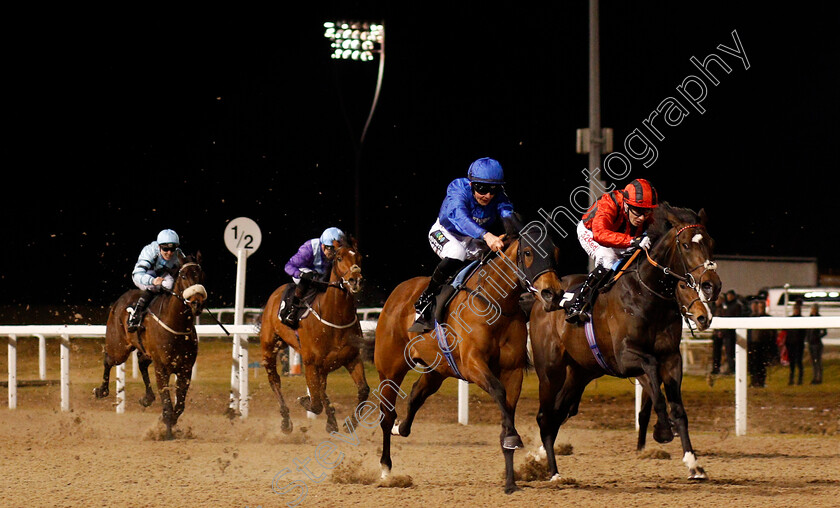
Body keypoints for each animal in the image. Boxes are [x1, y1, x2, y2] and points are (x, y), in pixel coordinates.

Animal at [94, 254, 207, 440]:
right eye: (184, 276)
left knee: (142, 363)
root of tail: (119, 301)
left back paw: (147, 397)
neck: (176, 325)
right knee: (108, 360)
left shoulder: (185, 369)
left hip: (144, 351)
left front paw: (167, 421)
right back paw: (101, 390)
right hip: (119, 348)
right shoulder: (162, 368)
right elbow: (167, 403)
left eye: (201, 275)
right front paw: (167, 432)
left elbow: (180, 405)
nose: (197, 303)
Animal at [260, 238, 368, 432]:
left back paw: (331, 421)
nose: (355, 280)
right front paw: (304, 400)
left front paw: (350, 423)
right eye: (339, 258)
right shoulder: (310, 362)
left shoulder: (351, 357)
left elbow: (363, 390)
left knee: (322, 388)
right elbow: (315, 403)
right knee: (274, 379)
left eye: (360, 257)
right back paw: (286, 421)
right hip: (269, 346)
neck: (335, 317)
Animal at [374, 220, 564, 494]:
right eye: (528, 253)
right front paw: (512, 438)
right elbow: (498, 391)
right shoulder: (472, 364)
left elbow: (507, 407)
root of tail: (397, 293)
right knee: (386, 416)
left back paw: (403, 428)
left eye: (556, 253)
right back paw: (386, 470)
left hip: (437, 369)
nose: (553, 294)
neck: (496, 303)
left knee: (417, 394)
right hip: (389, 370)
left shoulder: (513, 370)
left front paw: (510, 480)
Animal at [532, 202, 720, 480]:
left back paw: (540, 458)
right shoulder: (625, 358)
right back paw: (553, 472)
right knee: (545, 415)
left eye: (710, 242)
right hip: (550, 370)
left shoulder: (672, 358)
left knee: (559, 412)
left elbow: (678, 409)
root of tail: (543, 299)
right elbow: (652, 375)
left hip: (580, 372)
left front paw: (693, 463)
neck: (647, 295)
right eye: (686, 245)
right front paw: (663, 430)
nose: (712, 285)